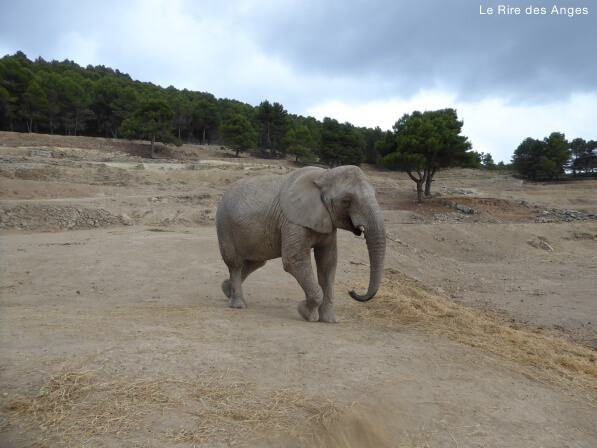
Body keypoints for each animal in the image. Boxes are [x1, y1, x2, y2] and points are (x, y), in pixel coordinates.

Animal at [215, 164, 386, 322]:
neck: (324, 175)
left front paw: (329, 320)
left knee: (256, 261)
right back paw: (238, 304)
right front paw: (306, 313)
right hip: (225, 224)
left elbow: (328, 262)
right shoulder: (292, 221)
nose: (352, 291)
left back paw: (226, 290)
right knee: (235, 263)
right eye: (346, 201)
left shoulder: (327, 222)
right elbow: (294, 260)